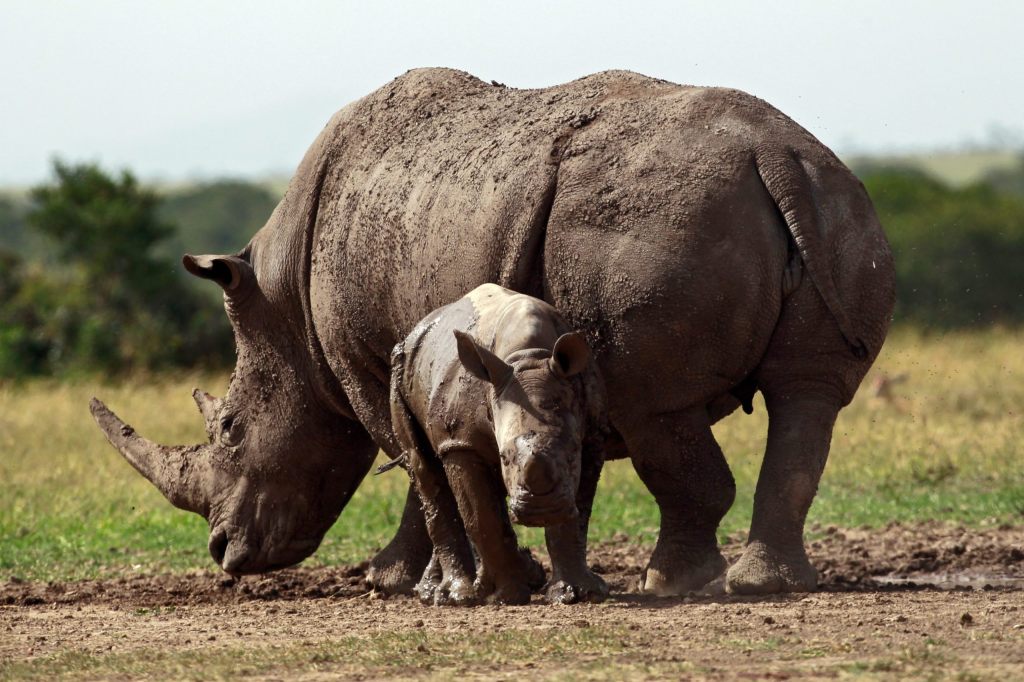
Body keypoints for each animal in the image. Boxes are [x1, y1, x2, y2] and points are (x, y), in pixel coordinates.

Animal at [385, 284, 606, 602]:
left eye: (572, 454)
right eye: (504, 457)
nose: (541, 510)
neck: (528, 357)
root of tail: (418, 327)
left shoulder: (592, 434)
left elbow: (578, 515)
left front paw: (578, 593)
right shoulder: (461, 443)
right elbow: (481, 516)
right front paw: (506, 597)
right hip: (400, 371)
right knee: (423, 465)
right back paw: (454, 596)